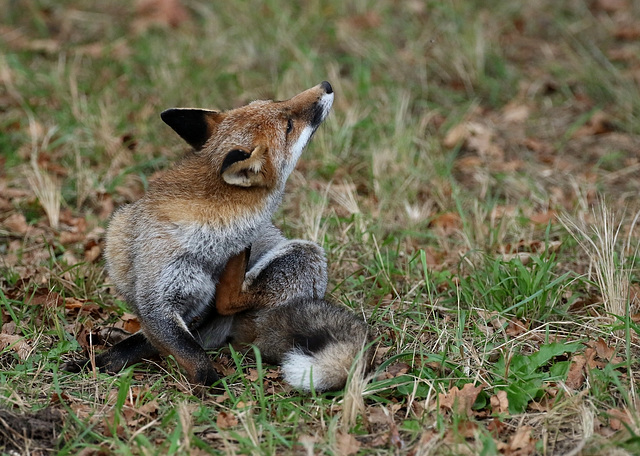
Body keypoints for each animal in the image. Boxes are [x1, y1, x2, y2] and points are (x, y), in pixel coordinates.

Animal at [62, 82, 372, 392]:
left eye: (277, 101)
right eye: (288, 125)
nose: (326, 86)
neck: (212, 238)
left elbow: (182, 346)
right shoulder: (157, 299)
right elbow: (189, 351)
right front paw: (209, 383)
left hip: (303, 255)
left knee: (228, 301)